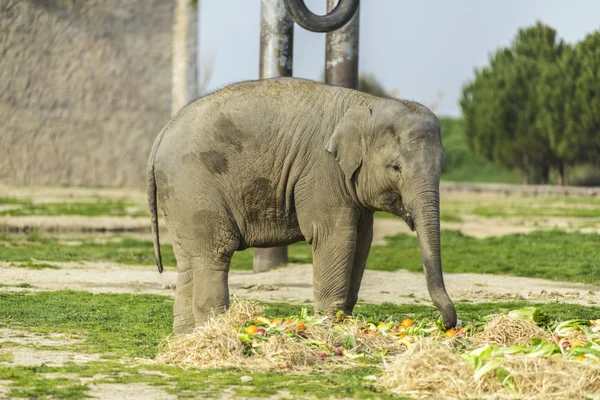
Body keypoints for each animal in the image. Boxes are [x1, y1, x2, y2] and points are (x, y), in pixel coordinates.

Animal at [148, 77, 458, 334]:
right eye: (396, 167)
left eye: (443, 165)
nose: (447, 324)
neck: (366, 102)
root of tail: (162, 133)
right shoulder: (322, 171)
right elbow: (334, 236)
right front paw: (330, 326)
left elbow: (362, 241)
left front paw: (344, 322)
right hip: (194, 185)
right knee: (215, 252)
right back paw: (217, 332)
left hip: (179, 195)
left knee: (189, 259)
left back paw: (186, 338)